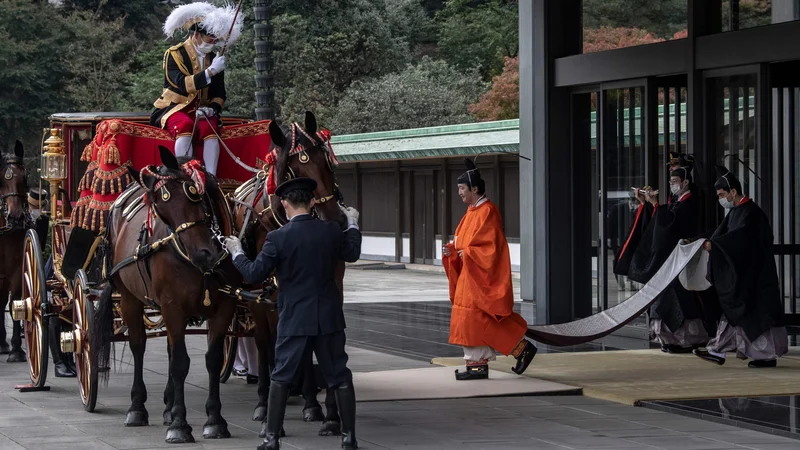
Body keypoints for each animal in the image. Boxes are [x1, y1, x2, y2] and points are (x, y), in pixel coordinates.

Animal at [91, 147, 239, 442]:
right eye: (160, 210)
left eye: (192, 191)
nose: (204, 254)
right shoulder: (173, 305)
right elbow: (180, 363)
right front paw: (180, 425)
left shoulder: (224, 307)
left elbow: (212, 360)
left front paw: (214, 420)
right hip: (129, 298)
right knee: (138, 345)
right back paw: (137, 408)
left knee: (170, 347)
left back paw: (169, 405)